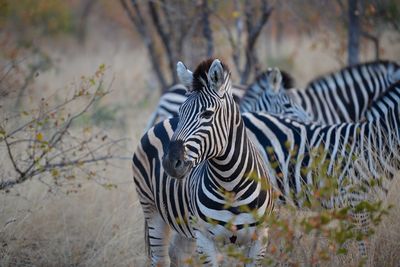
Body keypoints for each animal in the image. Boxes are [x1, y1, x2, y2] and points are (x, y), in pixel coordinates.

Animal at [133, 58, 276, 266]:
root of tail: (164, 121)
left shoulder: (260, 238)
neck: (231, 184)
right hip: (152, 212)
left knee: (178, 254)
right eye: (181, 111)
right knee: (161, 259)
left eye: (207, 114)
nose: (169, 162)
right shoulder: (205, 238)